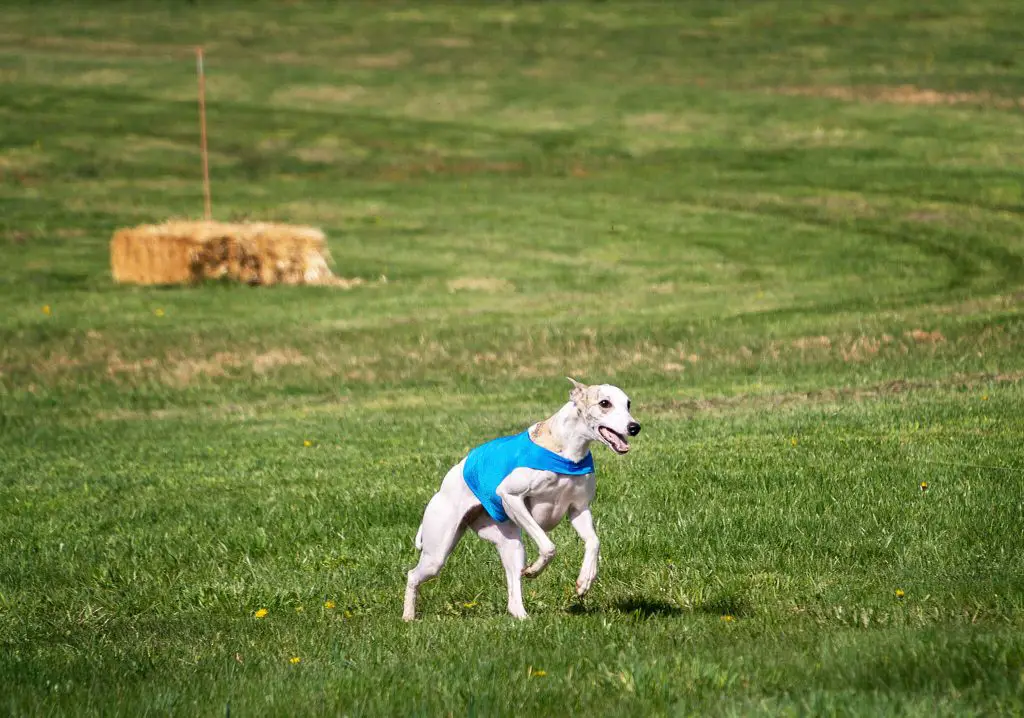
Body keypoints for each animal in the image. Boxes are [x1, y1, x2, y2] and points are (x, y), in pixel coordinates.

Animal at [401, 378, 634, 618]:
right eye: (604, 403)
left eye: (628, 404)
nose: (634, 427)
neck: (567, 451)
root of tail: (442, 488)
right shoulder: (510, 496)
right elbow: (549, 546)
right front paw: (534, 569)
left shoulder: (579, 508)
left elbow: (594, 541)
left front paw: (585, 580)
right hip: (438, 551)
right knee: (413, 575)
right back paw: (408, 617)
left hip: (510, 543)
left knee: (513, 593)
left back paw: (523, 617)